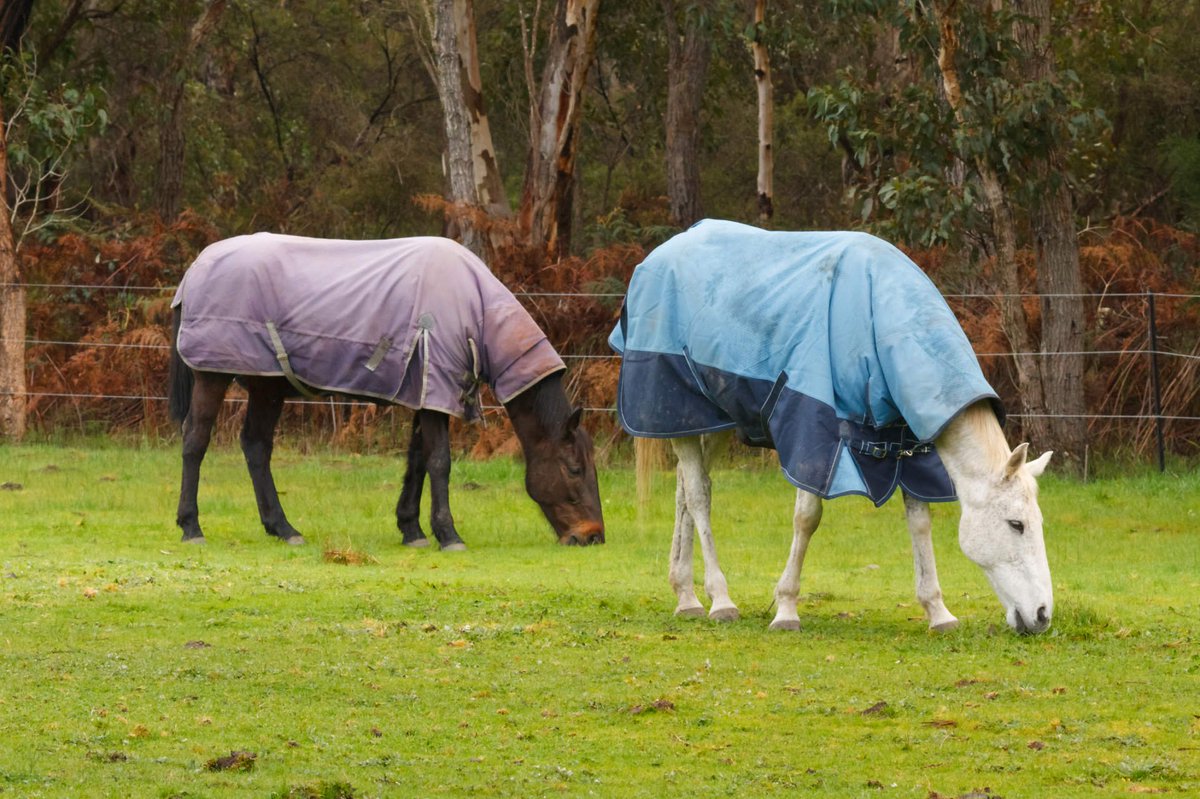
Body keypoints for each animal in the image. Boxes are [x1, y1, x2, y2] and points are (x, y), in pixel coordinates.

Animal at [168, 233, 605, 549]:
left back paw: (283, 528)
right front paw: (448, 535)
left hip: (267, 384)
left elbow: (418, 462)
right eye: (574, 469)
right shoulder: (435, 396)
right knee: (195, 441)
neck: (475, 311)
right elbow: (440, 463)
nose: (592, 536)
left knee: (256, 447)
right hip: (213, 376)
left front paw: (412, 530)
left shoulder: (425, 395)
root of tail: (196, 269)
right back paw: (192, 527)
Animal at [610, 220, 1054, 634]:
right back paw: (719, 600)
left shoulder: (912, 445)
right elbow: (807, 518)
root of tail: (660, 254)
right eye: (1016, 524)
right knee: (699, 496)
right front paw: (786, 609)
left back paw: (686, 596)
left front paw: (937, 611)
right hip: (680, 413)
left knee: (687, 489)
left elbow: (920, 523)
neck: (880, 320)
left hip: (714, 420)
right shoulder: (814, 434)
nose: (1042, 615)